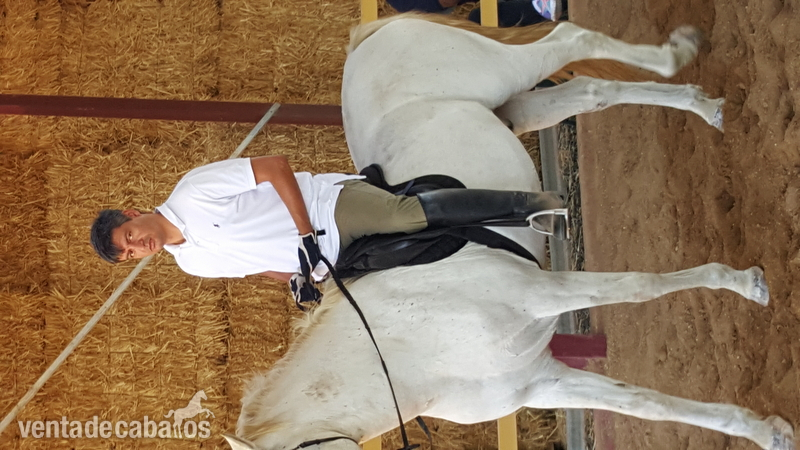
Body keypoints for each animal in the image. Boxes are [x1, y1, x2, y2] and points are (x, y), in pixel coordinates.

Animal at [223, 14, 795, 450]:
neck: (415, 349)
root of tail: (368, 36)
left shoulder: (543, 292)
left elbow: (640, 286)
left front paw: (747, 283)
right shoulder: (541, 383)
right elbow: (645, 403)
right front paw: (767, 432)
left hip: (509, 73)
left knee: (570, 38)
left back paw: (680, 52)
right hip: (520, 106)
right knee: (593, 90)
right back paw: (704, 104)